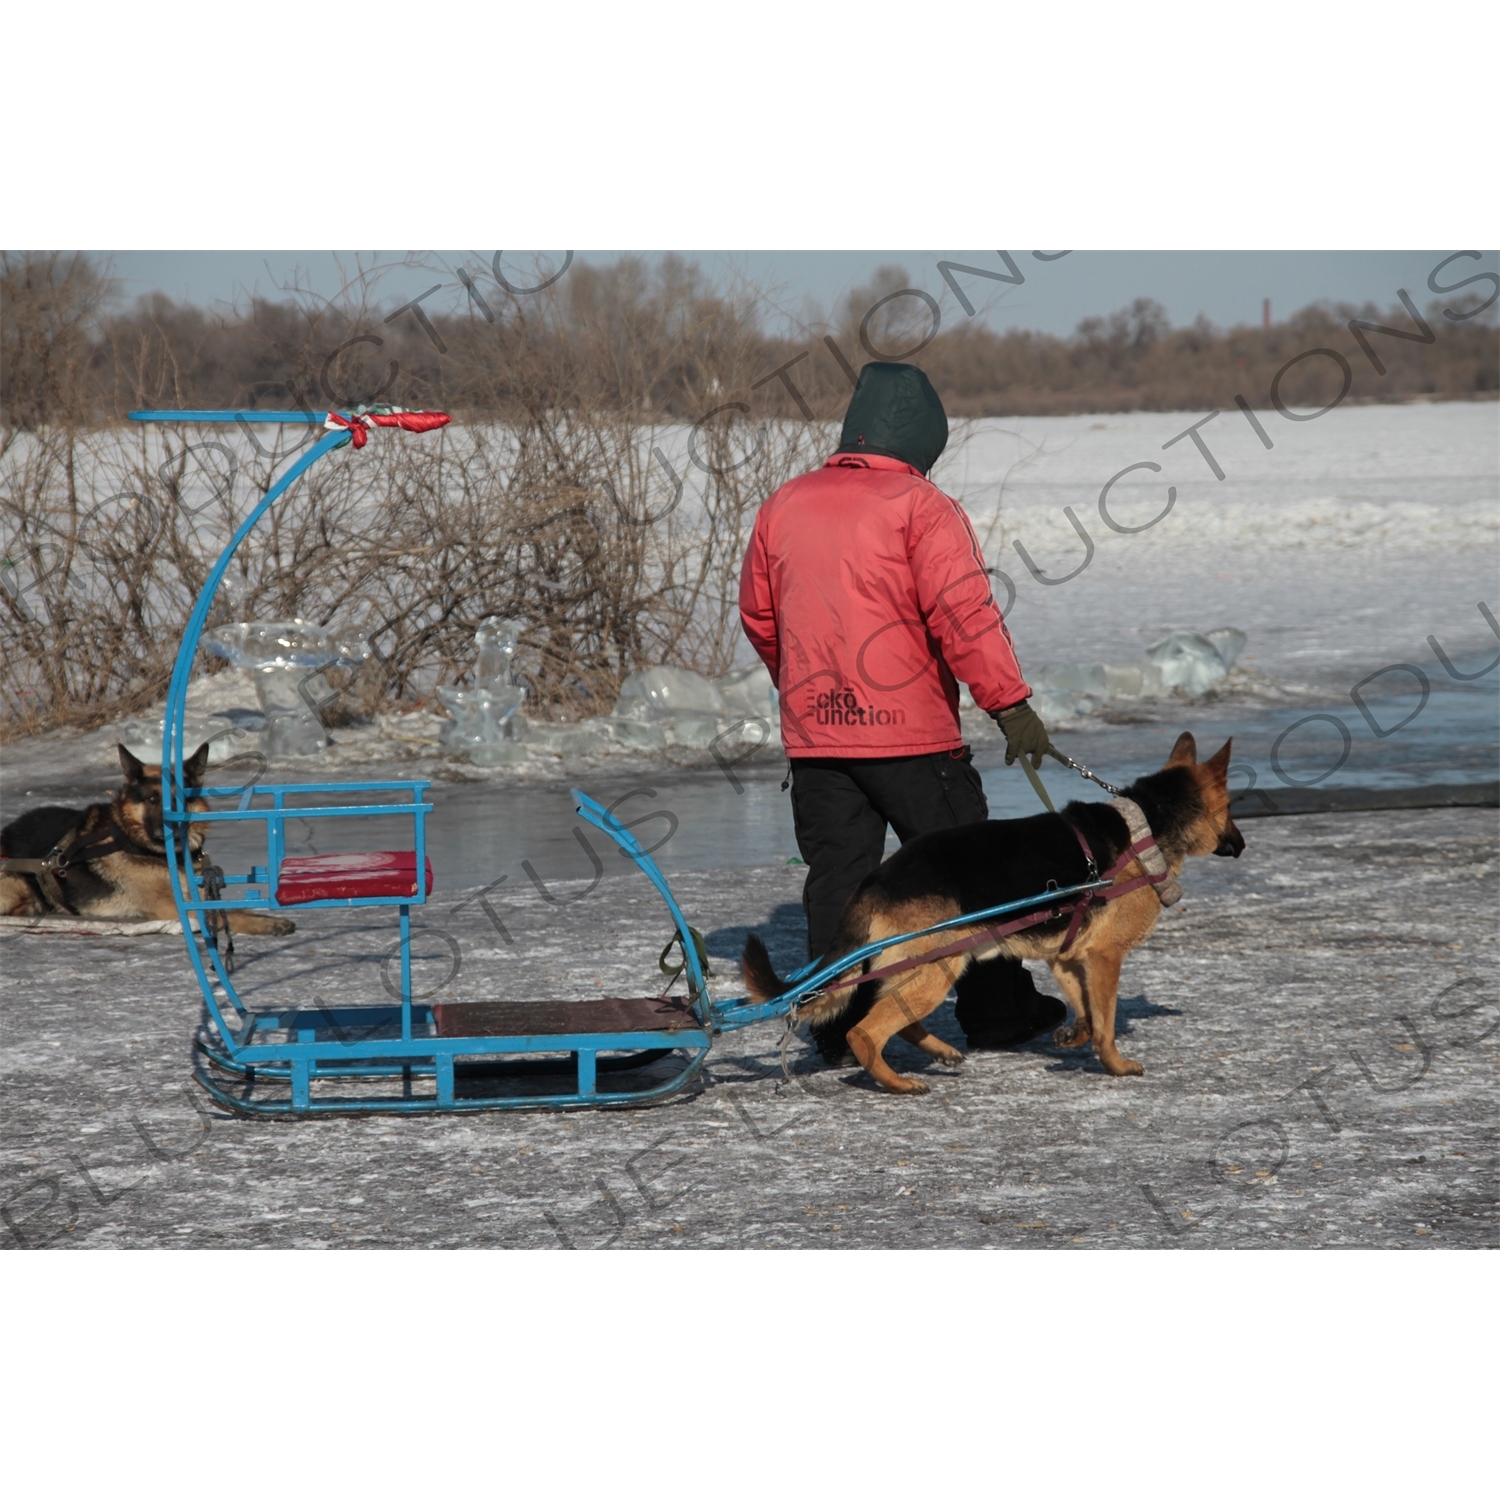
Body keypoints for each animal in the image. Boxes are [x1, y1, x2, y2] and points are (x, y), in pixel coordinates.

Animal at [0, 741, 292, 930]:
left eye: (180, 799)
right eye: (152, 798)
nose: (168, 829)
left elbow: (231, 908)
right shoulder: (173, 906)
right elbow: (223, 916)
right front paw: (265, 925)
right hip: (16, 882)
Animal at [738, 735, 1242, 1098]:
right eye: (1232, 807)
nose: (1241, 844)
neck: (1147, 826)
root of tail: (877, 879)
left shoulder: (1066, 956)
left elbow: (1084, 1011)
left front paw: (1073, 1036)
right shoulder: (1105, 957)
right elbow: (1106, 1022)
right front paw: (1114, 1064)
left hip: (922, 969)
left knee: (896, 1020)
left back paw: (938, 1052)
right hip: (936, 968)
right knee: (864, 1032)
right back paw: (897, 1082)